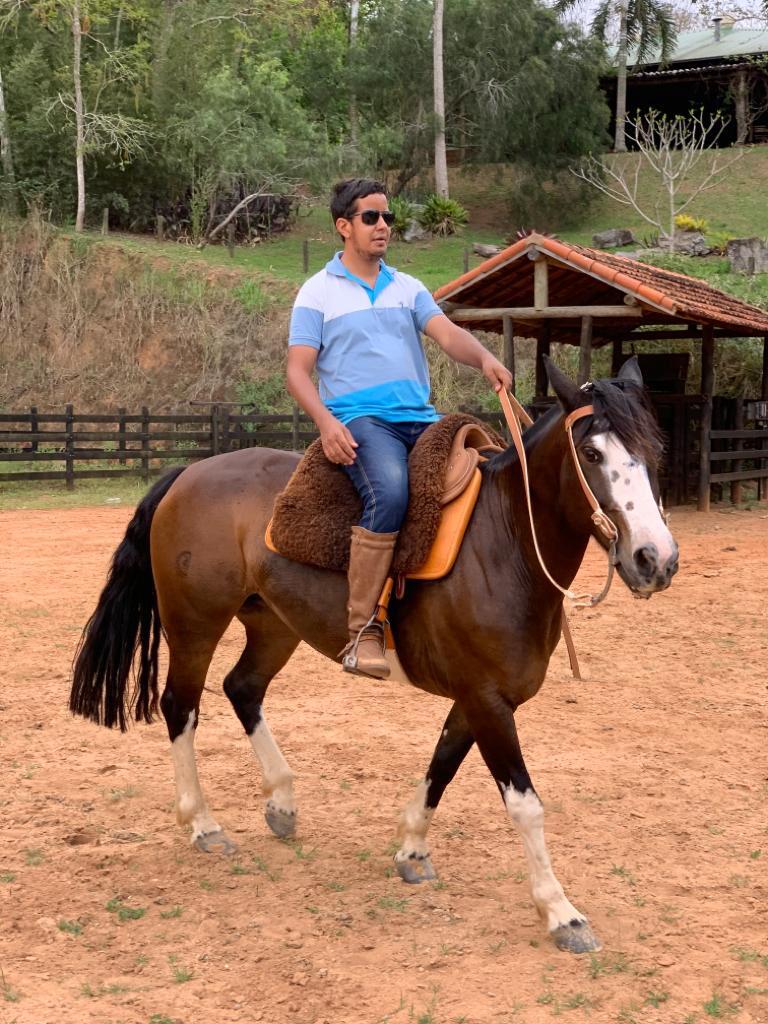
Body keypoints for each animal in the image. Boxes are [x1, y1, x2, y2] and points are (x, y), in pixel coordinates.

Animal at [67, 358, 679, 950]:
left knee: (242, 689)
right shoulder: (487, 701)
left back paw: (281, 803)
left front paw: (411, 850)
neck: (505, 543)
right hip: (195, 625)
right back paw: (204, 825)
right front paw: (560, 912)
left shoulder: (475, 699)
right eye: (591, 453)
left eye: (654, 451)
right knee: (181, 706)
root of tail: (189, 474)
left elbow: (441, 766)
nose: (655, 560)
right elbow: (525, 805)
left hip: (273, 625)